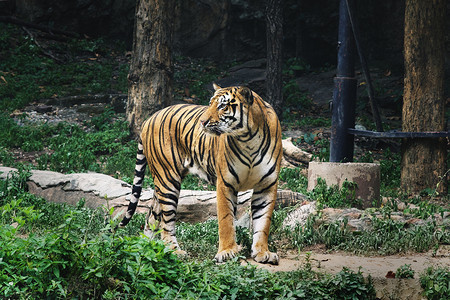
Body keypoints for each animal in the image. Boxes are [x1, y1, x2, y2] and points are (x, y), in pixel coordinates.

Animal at [119, 83, 282, 264]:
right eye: (210, 104)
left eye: (222, 106)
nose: (202, 122)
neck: (249, 140)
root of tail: (149, 119)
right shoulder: (225, 183)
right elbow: (226, 220)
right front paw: (227, 251)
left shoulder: (266, 185)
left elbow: (263, 222)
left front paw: (262, 252)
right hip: (168, 179)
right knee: (166, 222)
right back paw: (174, 252)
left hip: (162, 182)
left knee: (152, 216)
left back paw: (146, 247)